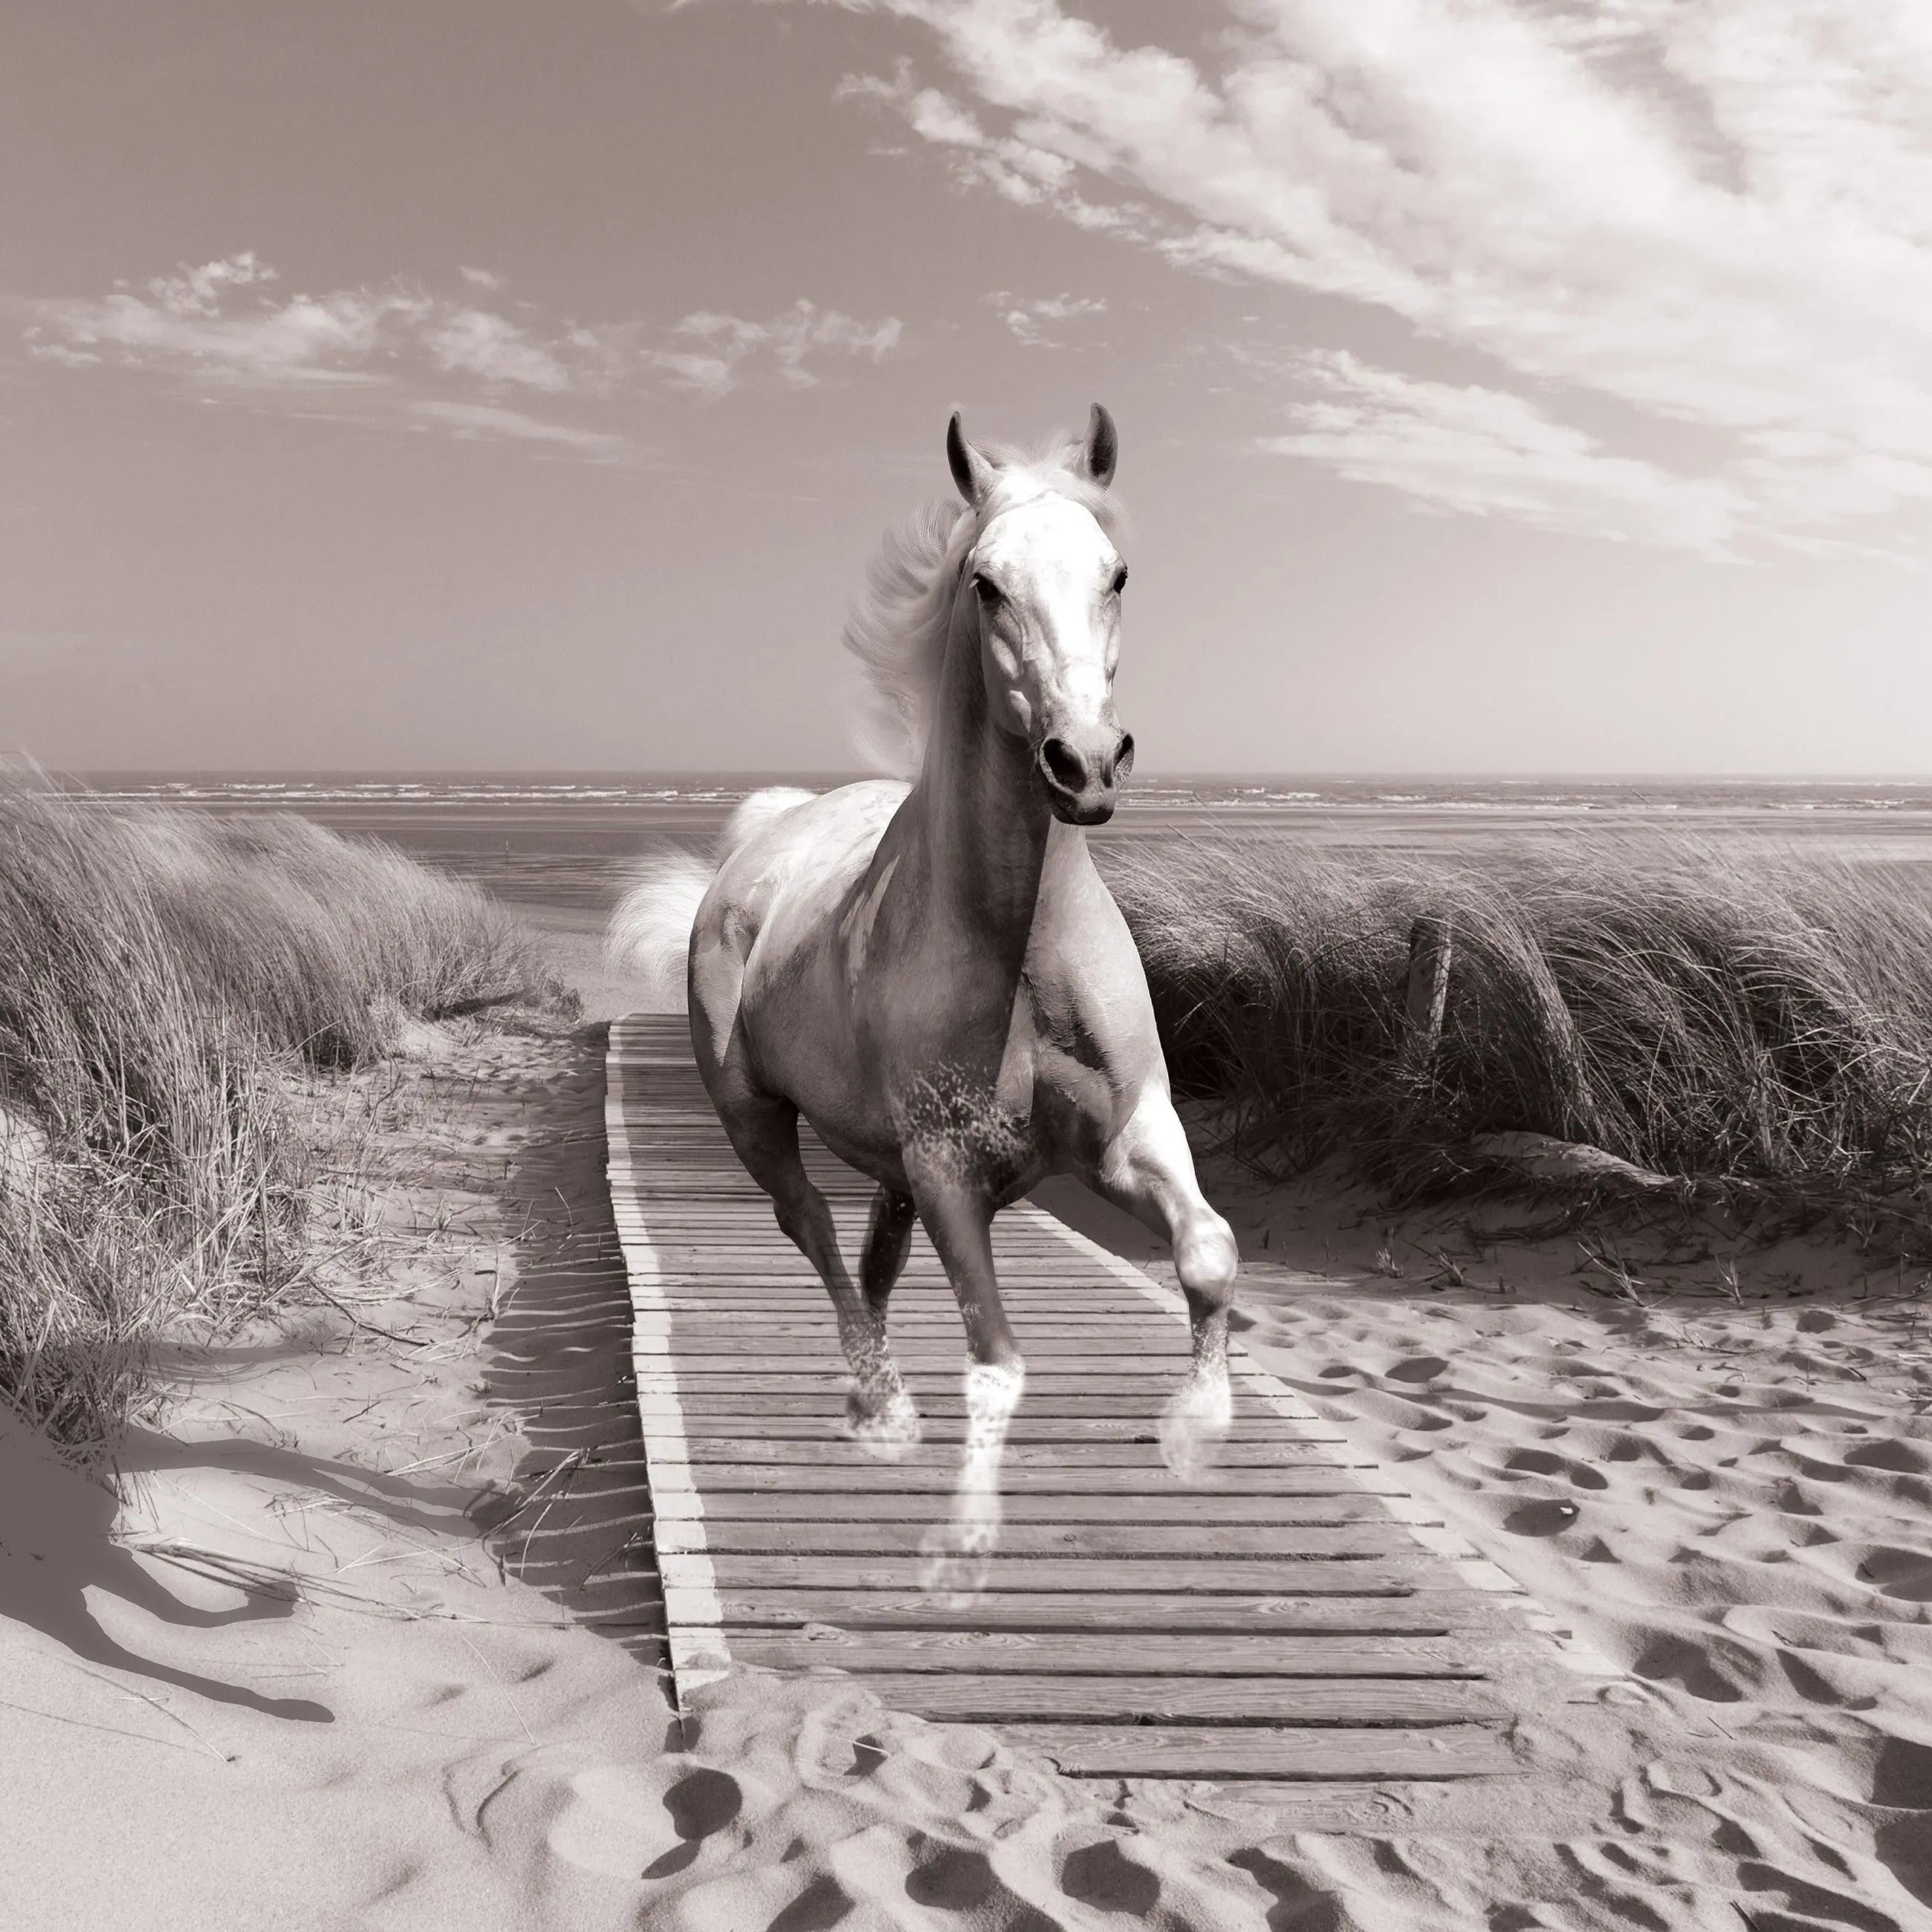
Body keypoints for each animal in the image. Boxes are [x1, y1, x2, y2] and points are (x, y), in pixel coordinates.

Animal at [618, 407, 1236, 1569]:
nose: (1086, 763)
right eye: (985, 583)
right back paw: (884, 1405)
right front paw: (968, 1533)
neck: (1020, 945)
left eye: (1116, 571)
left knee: (870, 1257)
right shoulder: (951, 1173)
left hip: (890, 1164)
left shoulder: (1134, 1133)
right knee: (813, 1230)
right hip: (754, 1119)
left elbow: (1209, 1254)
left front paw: (1195, 1432)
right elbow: (997, 1354)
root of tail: (762, 838)